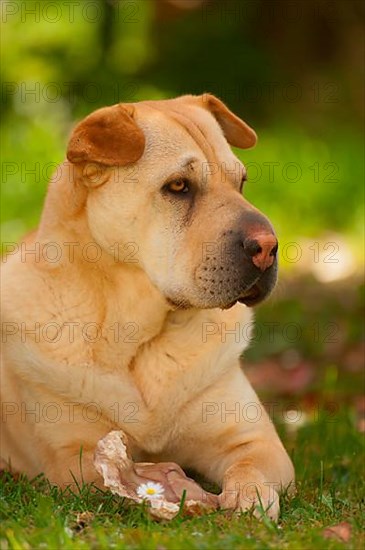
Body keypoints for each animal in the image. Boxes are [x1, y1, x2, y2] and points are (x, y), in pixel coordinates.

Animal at [0, 95, 292, 520]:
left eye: (241, 182)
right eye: (178, 186)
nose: (268, 247)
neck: (139, 336)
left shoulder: (252, 440)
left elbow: (251, 469)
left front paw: (247, 498)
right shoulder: (72, 457)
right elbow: (121, 470)